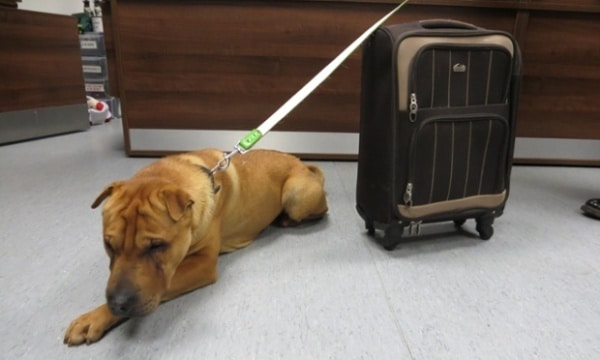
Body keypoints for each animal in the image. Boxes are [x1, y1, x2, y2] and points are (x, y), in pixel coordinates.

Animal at [63, 149, 328, 346]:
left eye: (157, 246)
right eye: (108, 244)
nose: (118, 303)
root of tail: (303, 165)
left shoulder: (202, 263)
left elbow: (163, 286)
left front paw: (96, 317)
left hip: (297, 194)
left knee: (318, 212)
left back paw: (285, 219)